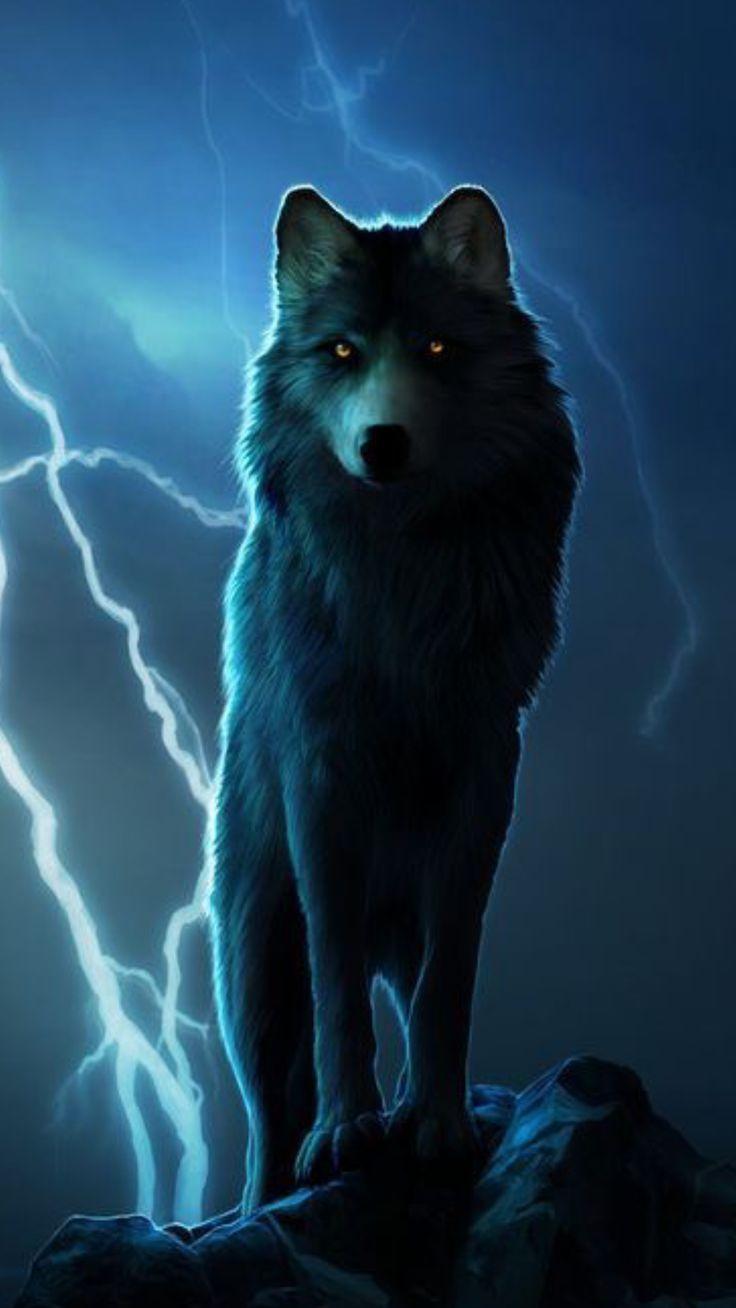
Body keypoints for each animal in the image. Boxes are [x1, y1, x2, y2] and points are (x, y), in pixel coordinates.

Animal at [211, 184, 580, 1211]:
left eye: (438, 350)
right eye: (342, 352)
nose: (384, 443)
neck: (402, 567)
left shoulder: (487, 763)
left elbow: (447, 984)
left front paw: (441, 1126)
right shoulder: (323, 773)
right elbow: (339, 989)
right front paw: (345, 1132)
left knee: (412, 997)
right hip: (252, 972)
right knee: (265, 1119)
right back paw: (262, 1200)